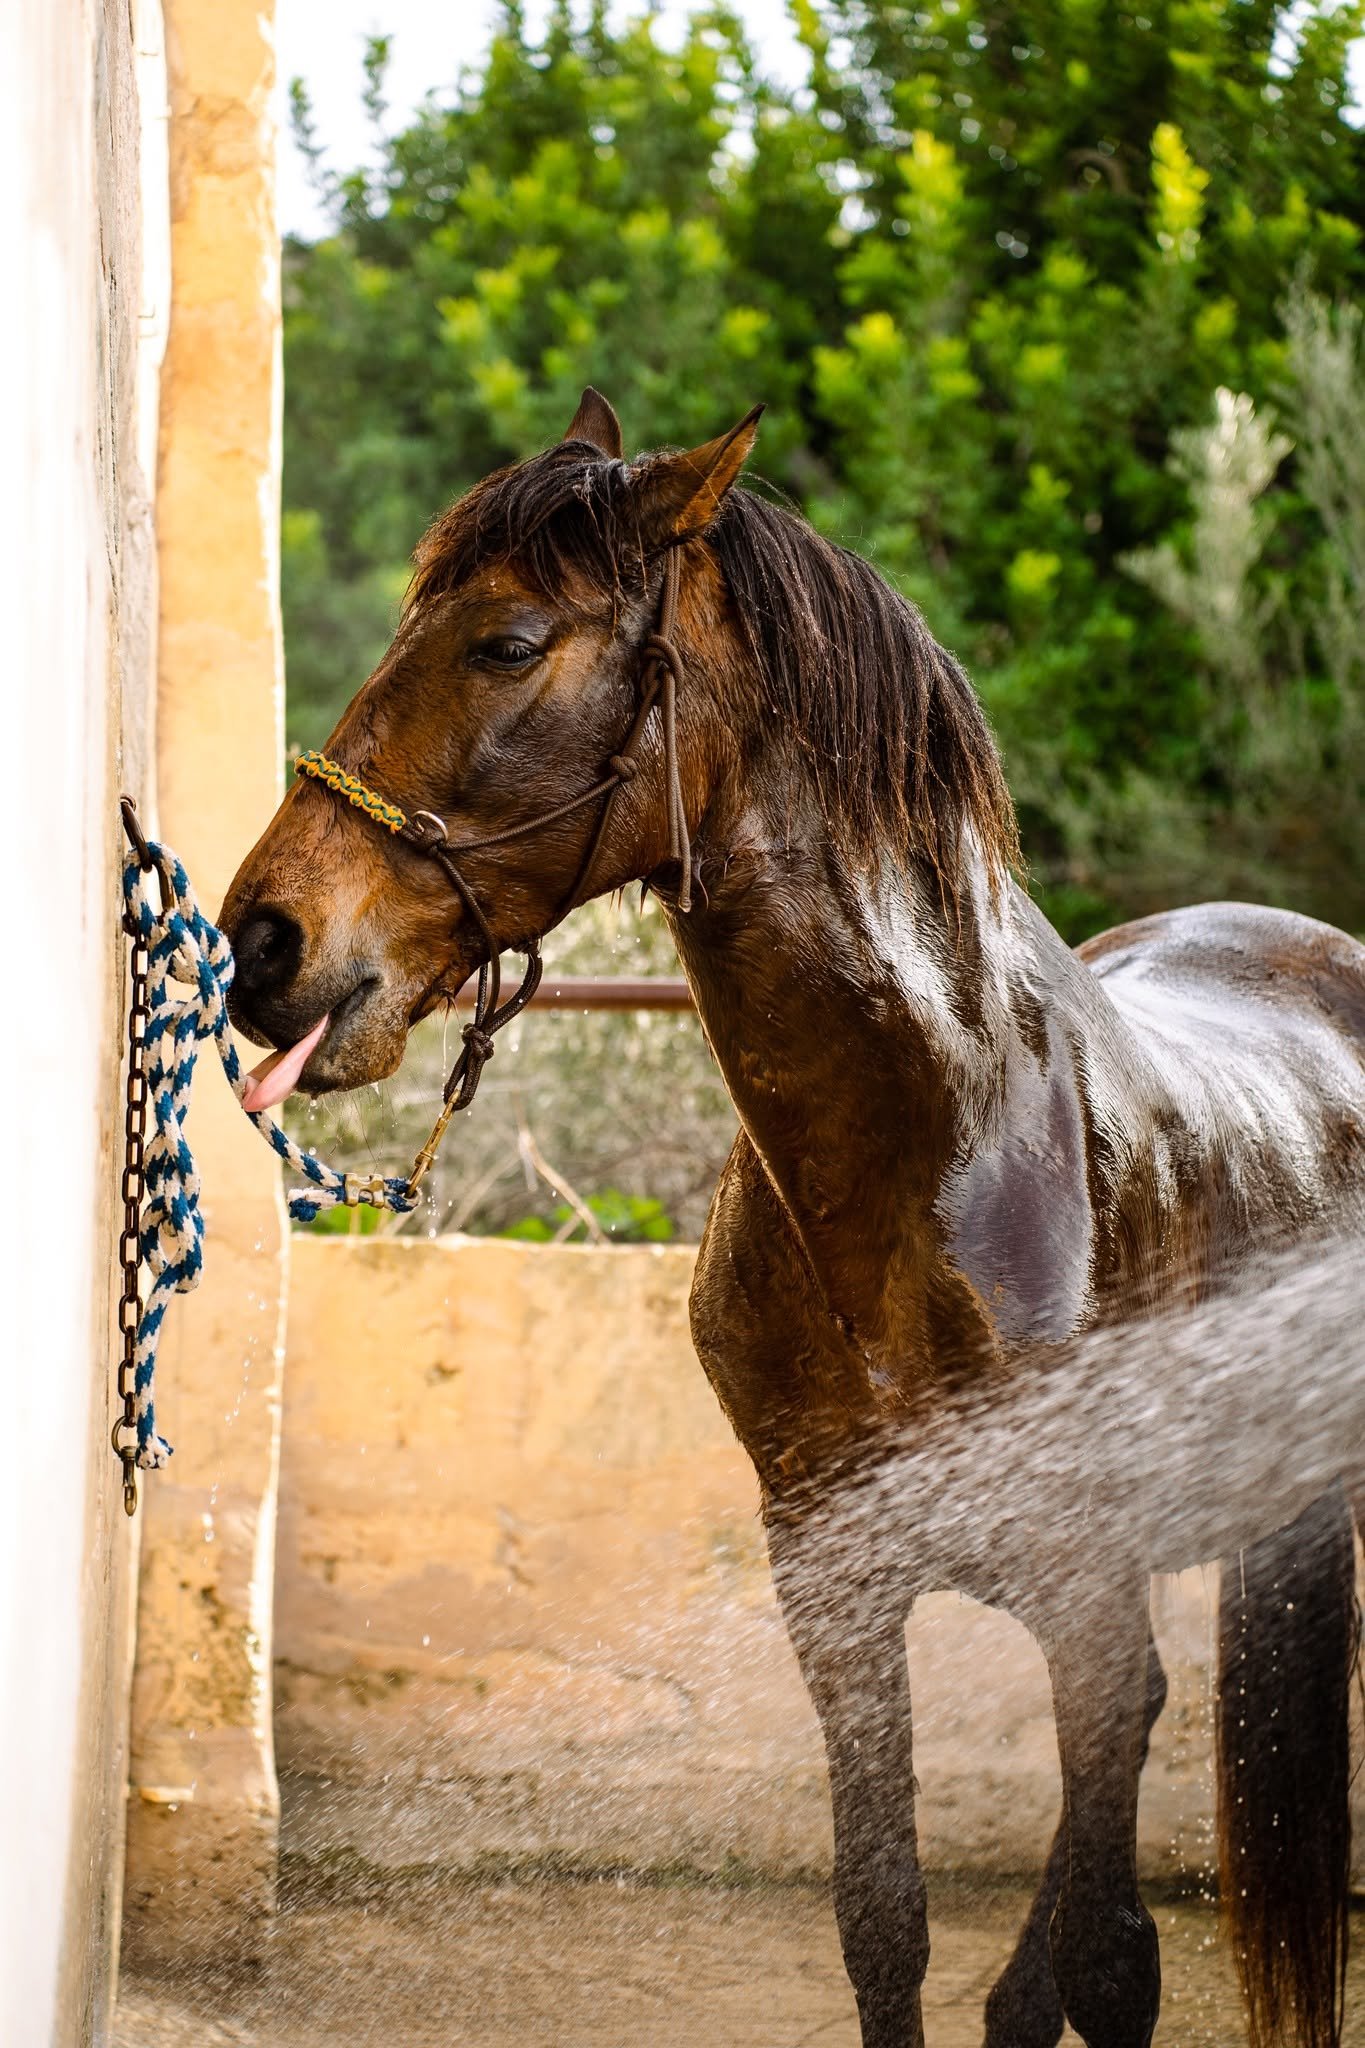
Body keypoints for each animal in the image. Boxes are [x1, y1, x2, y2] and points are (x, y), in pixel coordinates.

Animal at [221, 389, 1365, 2048]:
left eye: (507, 642)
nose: (261, 941)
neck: (932, 1161)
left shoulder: (1089, 1606)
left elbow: (1111, 1965)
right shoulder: (835, 1587)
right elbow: (883, 1926)